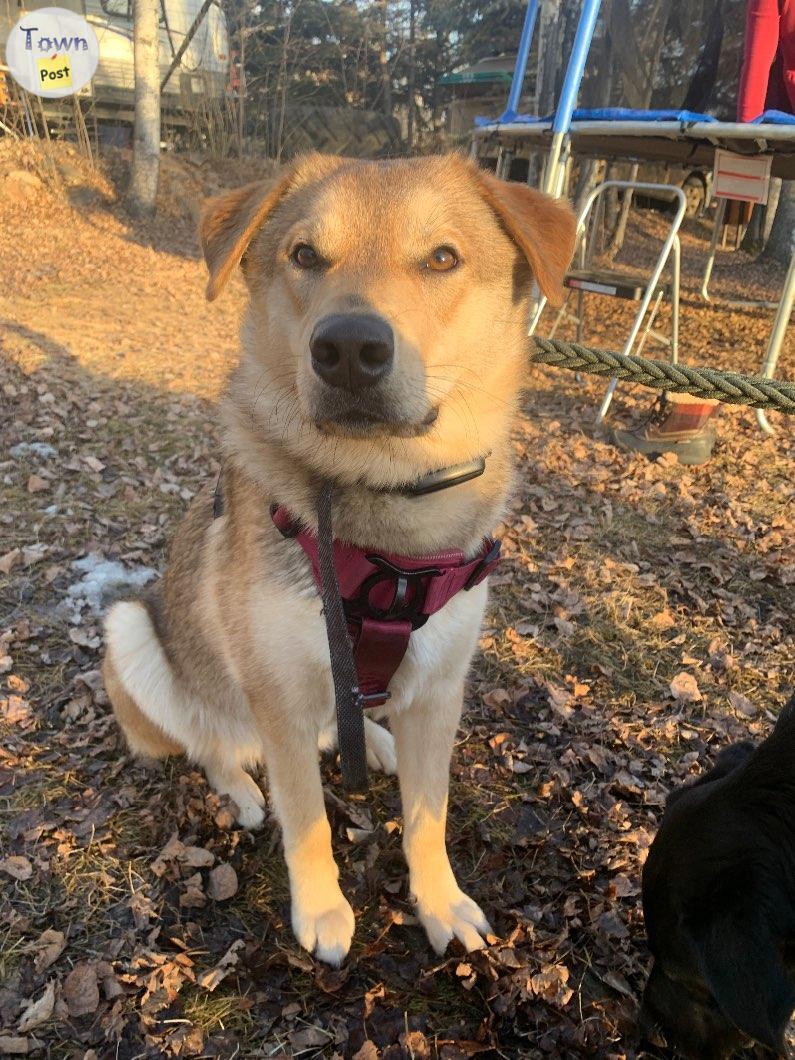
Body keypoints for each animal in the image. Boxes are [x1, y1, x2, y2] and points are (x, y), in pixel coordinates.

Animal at [102, 151, 576, 970]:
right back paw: (241, 787)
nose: (349, 348)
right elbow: (307, 822)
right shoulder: (279, 698)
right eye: (304, 256)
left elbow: (427, 819)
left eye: (441, 258)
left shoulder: (441, 690)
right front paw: (321, 909)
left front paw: (439, 902)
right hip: (132, 631)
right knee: (208, 743)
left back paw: (374, 743)